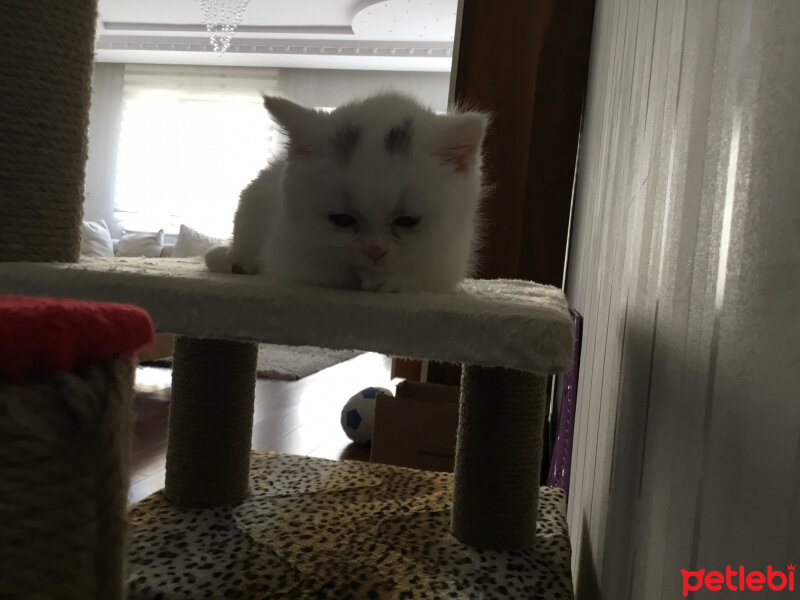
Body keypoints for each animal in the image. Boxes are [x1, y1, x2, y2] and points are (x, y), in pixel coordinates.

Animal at [206, 91, 488, 292]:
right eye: (342, 220)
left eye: (407, 221)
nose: (374, 251)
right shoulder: (287, 249)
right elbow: (324, 269)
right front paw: (361, 275)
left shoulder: (448, 258)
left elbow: (417, 275)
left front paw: (381, 278)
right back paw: (231, 260)